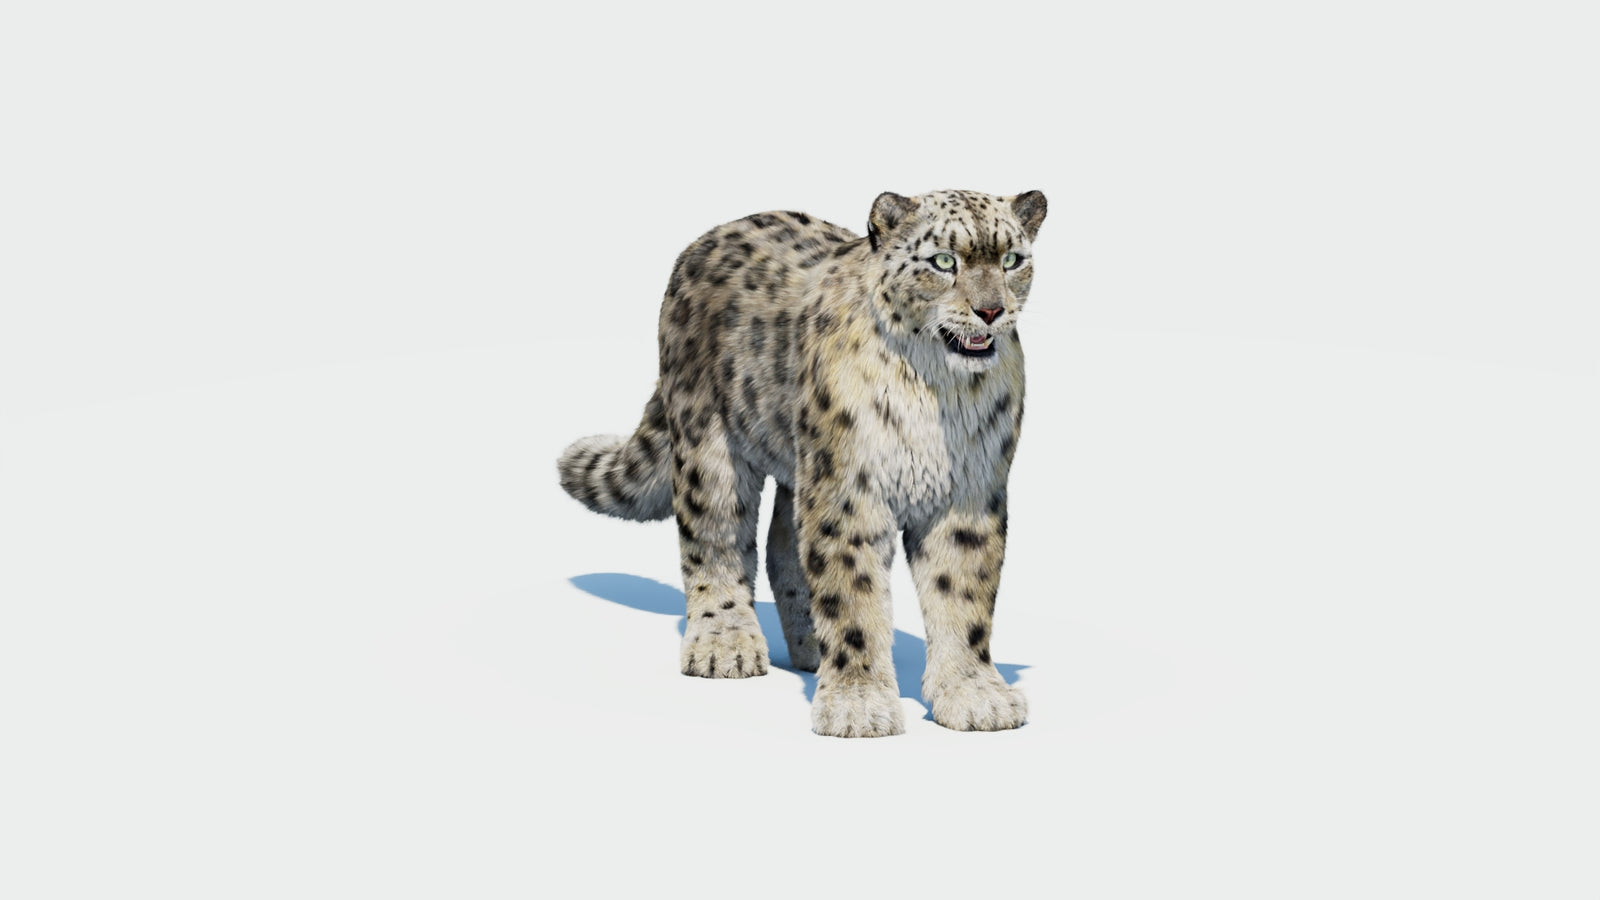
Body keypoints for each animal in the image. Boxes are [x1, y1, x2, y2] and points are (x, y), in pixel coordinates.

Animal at [558, 189, 1047, 737]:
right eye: (943, 261)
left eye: (1012, 260)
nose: (991, 311)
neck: (936, 391)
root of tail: (705, 241)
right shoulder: (850, 490)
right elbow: (852, 592)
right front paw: (859, 705)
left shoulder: (969, 492)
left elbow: (963, 595)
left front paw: (974, 695)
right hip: (713, 447)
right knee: (715, 538)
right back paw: (725, 645)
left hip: (803, 467)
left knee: (783, 547)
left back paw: (811, 646)